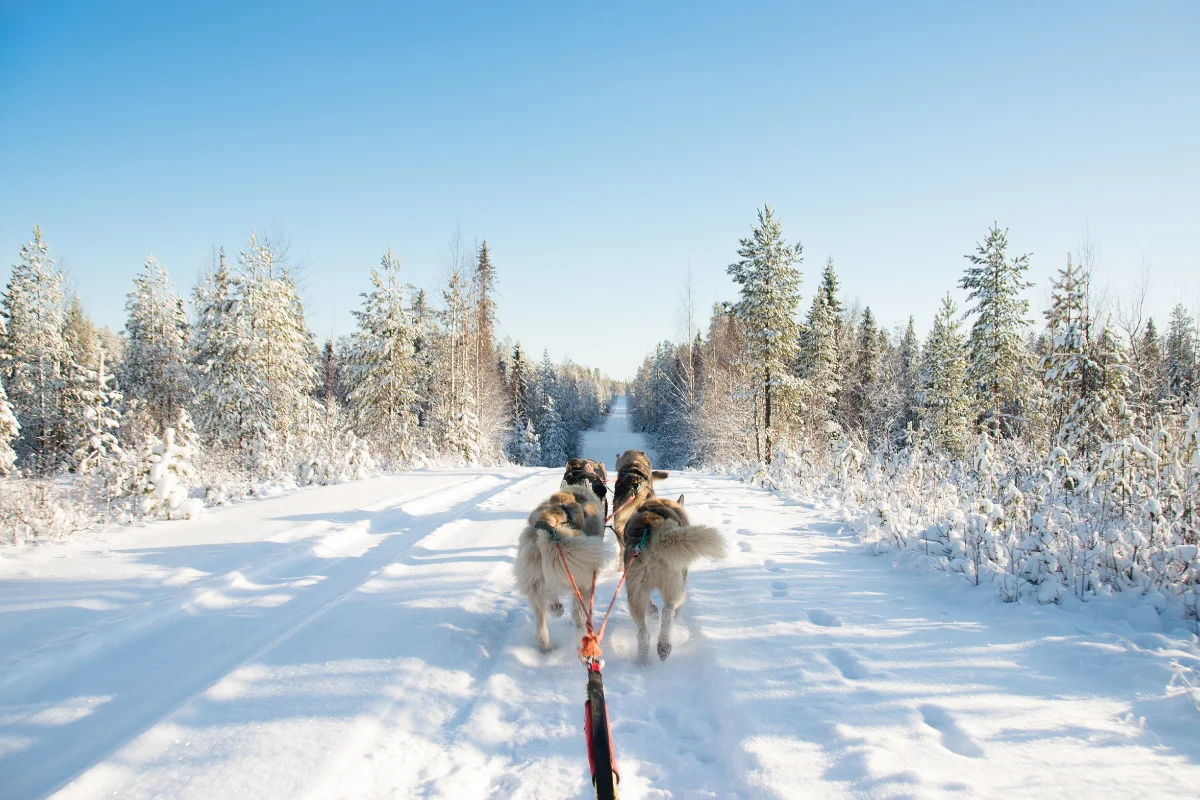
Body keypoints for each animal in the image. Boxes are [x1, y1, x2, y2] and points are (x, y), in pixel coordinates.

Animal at [513, 482, 609, 652]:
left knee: (541, 622)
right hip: (581, 580)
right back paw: (581, 639)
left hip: (535, 581)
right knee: (578, 615)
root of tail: (548, 523)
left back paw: (547, 642)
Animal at [624, 494, 724, 662]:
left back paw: (643, 659)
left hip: (635, 594)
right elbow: (674, 614)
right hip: (676, 588)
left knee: (643, 632)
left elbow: (651, 609)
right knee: (668, 609)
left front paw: (653, 614)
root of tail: (653, 530)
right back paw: (664, 646)